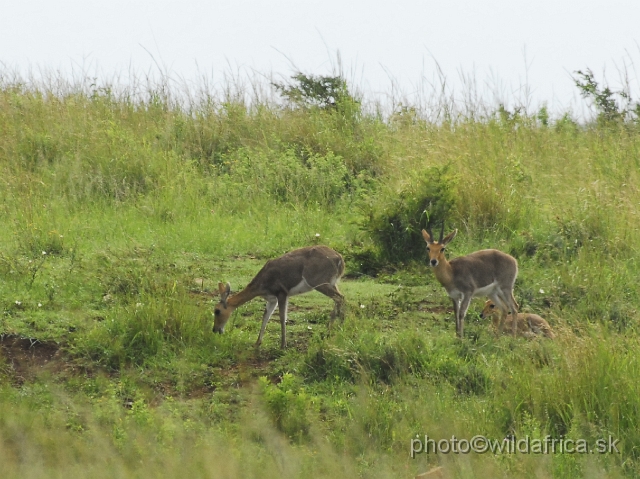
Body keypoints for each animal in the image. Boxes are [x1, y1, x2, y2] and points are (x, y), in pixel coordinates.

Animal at [212, 246, 344, 350]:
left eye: (217, 311)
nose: (215, 330)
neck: (261, 284)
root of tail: (339, 259)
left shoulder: (282, 292)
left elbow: (282, 317)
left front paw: (283, 345)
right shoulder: (272, 299)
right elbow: (265, 317)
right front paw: (257, 343)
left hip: (318, 281)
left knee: (340, 298)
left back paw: (337, 330)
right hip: (333, 283)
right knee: (339, 298)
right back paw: (332, 331)